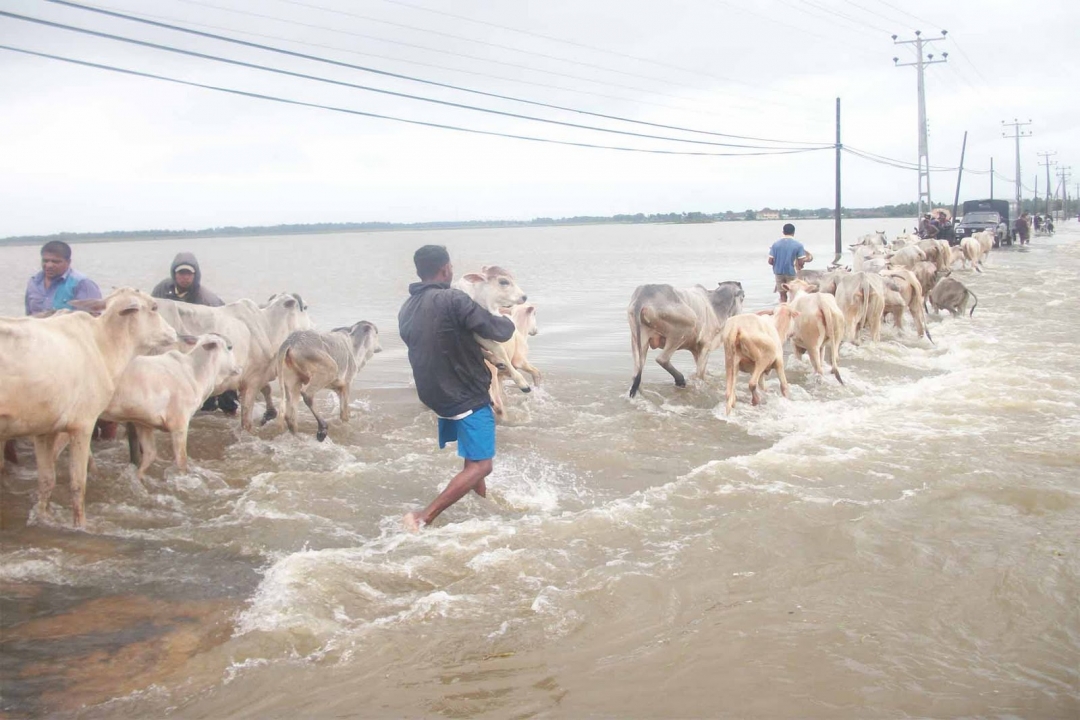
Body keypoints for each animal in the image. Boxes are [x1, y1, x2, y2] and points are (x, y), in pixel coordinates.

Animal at [0, 289, 177, 528]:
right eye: (154, 307)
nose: (173, 332)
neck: (103, 346)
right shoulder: (83, 425)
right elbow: (78, 483)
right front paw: (80, 525)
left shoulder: (44, 429)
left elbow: (46, 480)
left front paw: (44, 518)